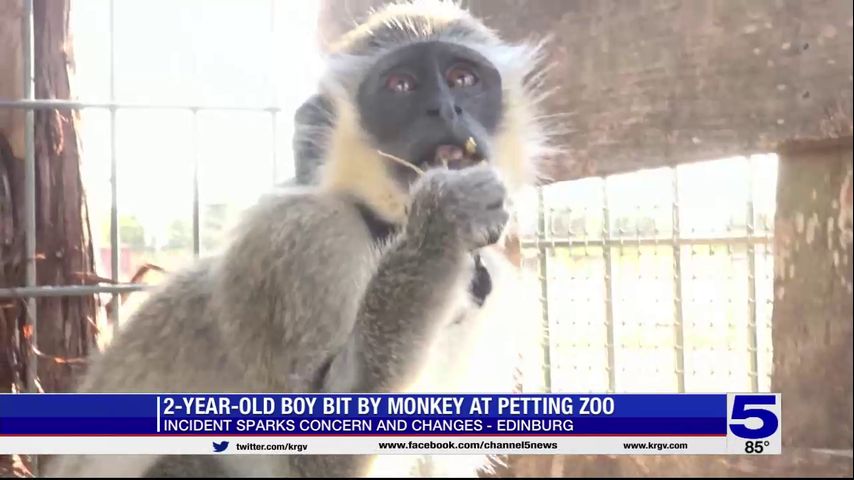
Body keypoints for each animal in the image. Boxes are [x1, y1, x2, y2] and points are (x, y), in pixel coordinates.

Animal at [45, 0, 556, 476]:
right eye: (401, 86)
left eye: (463, 79)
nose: (446, 108)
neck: (382, 228)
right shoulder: (306, 240)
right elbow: (312, 459)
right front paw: (443, 220)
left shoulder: (494, 288)